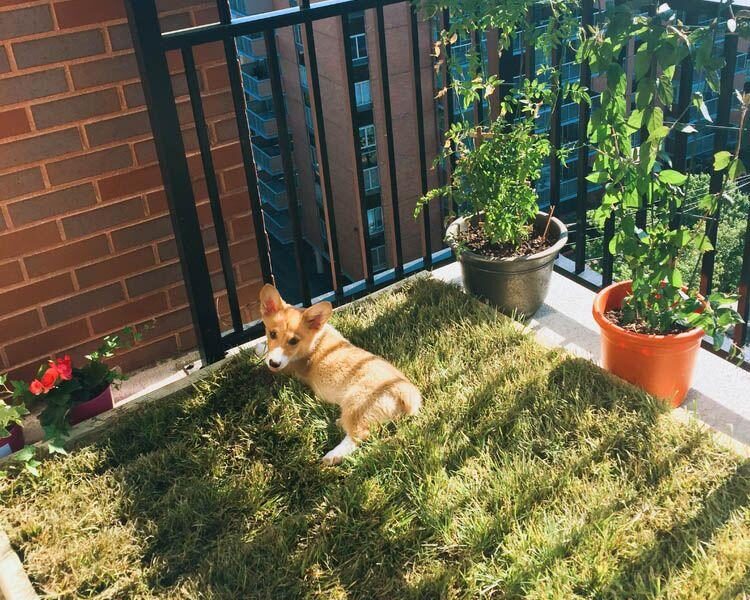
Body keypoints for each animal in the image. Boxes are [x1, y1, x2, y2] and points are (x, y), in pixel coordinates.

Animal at [258, 284, 424, 464]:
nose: (274, 363)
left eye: (293, 341)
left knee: (359, 435)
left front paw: (259, 350)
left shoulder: (289, 368)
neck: (316, 339)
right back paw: (338, 423)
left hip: (356, 402)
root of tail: (408, 394)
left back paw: (332, 455)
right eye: (272, 334)